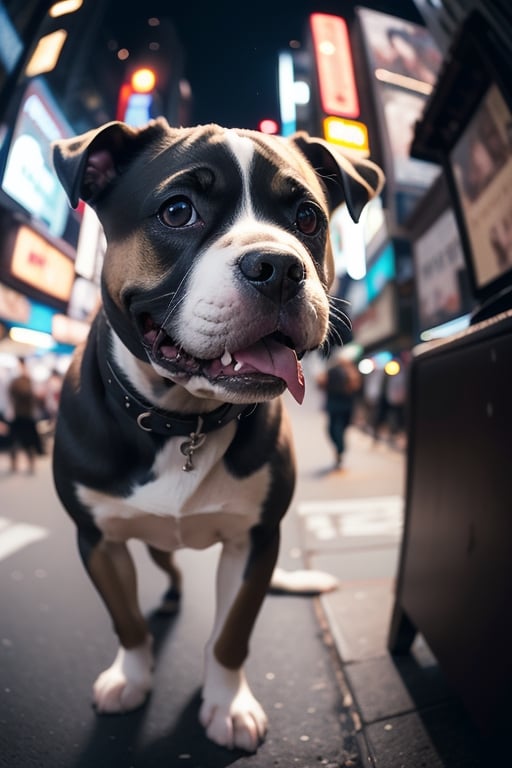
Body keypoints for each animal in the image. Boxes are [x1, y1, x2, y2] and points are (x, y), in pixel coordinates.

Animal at [52, 123, 384, 752]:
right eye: (178, 211)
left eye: (307, 217)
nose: (278, 266)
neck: (183, 419)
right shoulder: (97, 540)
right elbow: (125, 620)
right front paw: (131, 677)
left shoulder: (256, 540)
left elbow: (230, 633)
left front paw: (227, 705)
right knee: (168, 567)